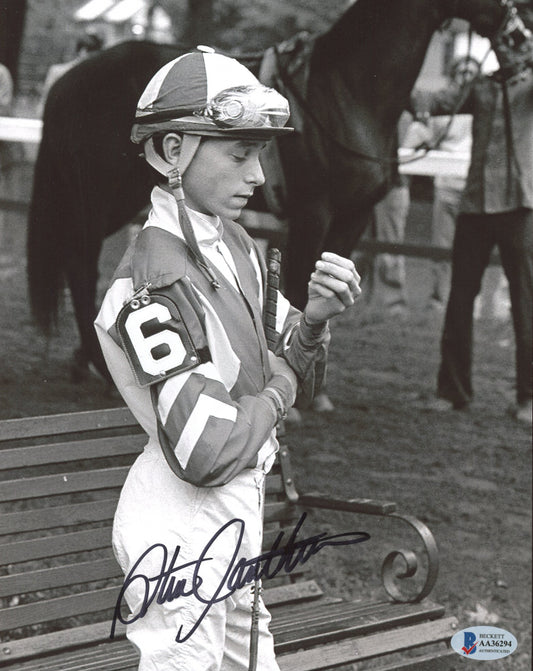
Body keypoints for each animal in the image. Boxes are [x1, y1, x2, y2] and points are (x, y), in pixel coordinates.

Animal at [28, 0, 516, 380]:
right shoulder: (313, 213)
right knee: (80, 260)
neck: (345, 88)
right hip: (97, 195)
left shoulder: (353, 216)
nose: (519, 39)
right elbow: (297, 283)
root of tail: (69, 80)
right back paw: (94, 361)